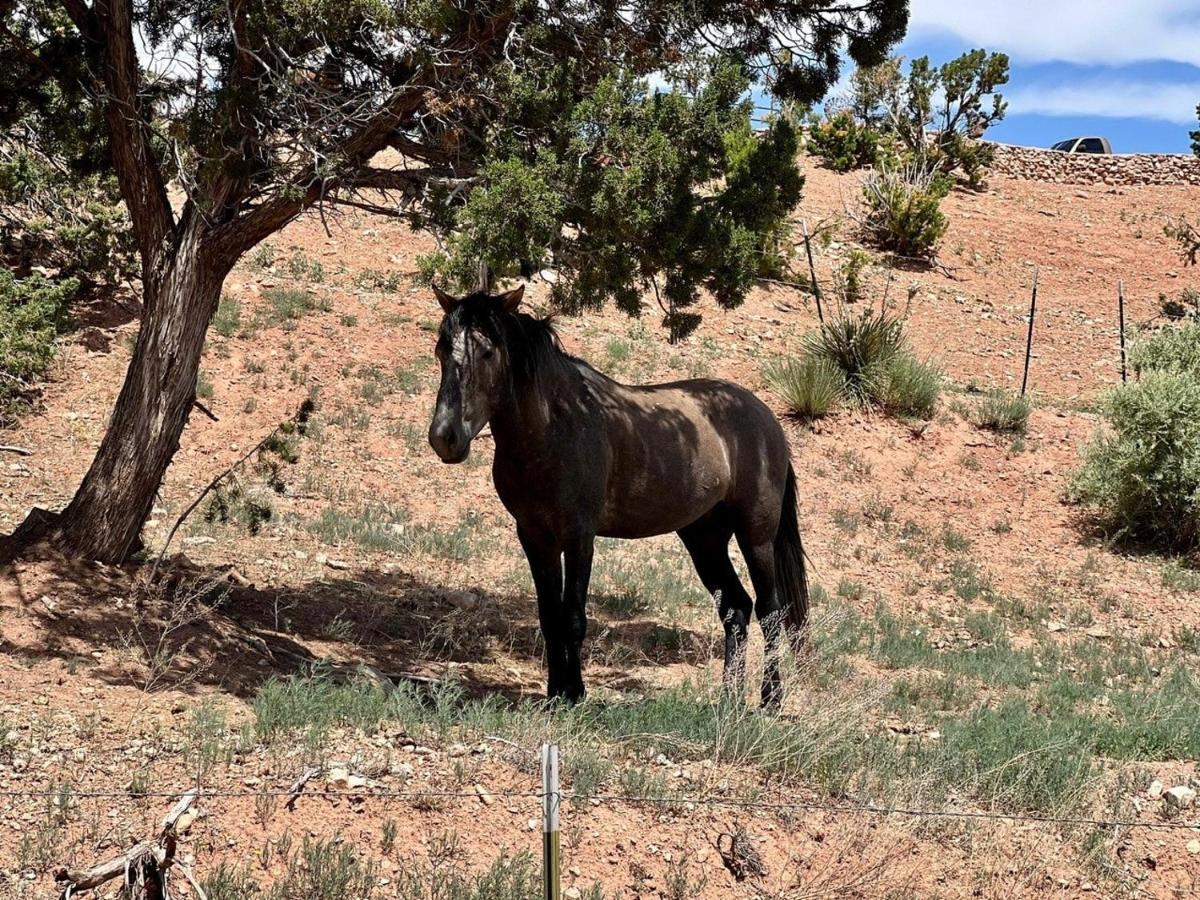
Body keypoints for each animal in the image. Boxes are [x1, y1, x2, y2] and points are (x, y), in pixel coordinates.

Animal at [422, 285, 806, 710]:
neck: (556, 427)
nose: (445, 437)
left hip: (756, 535)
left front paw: (574, 695)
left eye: (488, 351)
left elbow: (573, 617)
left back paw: (770, 701)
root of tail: (765, 419)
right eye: (441, 349)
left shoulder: (578, 536)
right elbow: (549, 617)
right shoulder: (535, 537)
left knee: (770, 612)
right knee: (735, 609)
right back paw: (729, 702)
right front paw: (555, 694)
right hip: (704, 539)